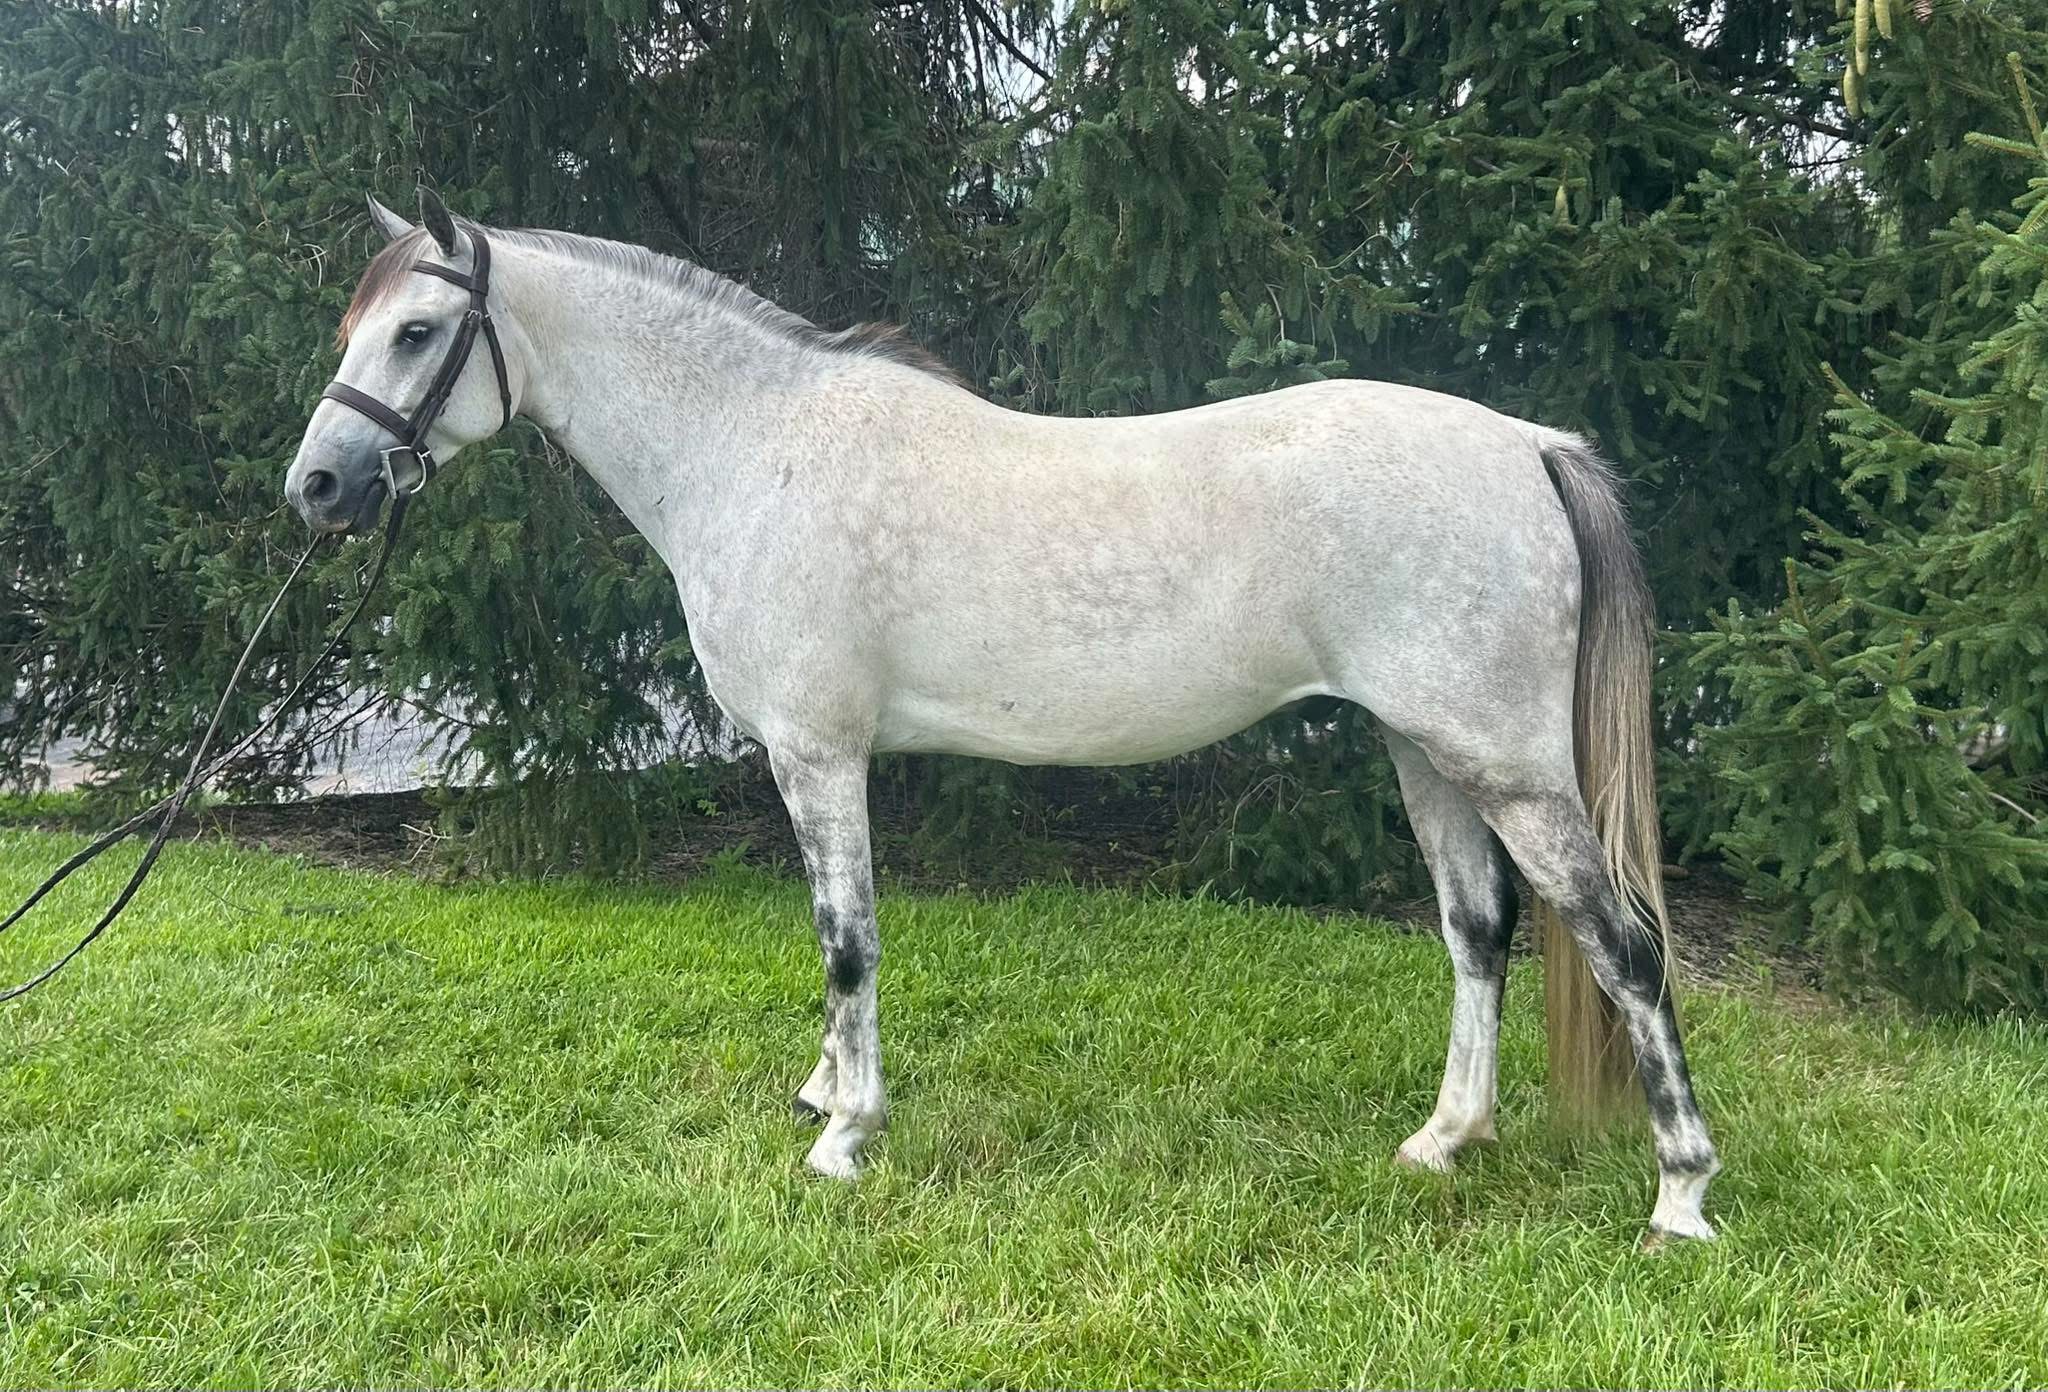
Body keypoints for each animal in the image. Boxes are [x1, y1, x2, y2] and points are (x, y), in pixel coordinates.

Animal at [285, 189, 1719, 1243]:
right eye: (354, 327)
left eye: (415, 331)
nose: (319, 487)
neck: (755, 451)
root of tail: (1528, 443)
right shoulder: (805, 761)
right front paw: (824, 1090)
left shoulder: (820, 754)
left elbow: (847, 942)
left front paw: (844, 1134)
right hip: (1427, 752)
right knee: (1477, 933)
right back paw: (1442, 1142)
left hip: (1505, 764)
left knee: (1623, 945)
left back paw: (1679, 1196)